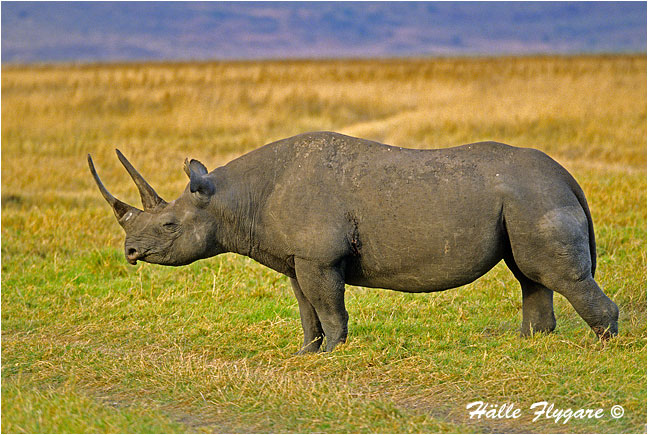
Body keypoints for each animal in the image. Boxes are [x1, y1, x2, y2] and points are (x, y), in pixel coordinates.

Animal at [88, 131, 618, 353]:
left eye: (169, 226)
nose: (130, 253)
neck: (232, 198)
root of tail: (567, 177)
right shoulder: (297, 256)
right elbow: (307, 309)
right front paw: (305, 355)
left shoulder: (320, 256)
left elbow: (329, 306)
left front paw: (334, 354)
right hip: (527, 198)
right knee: (530, 274)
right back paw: (531, 343)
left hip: (536, 196)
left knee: (554, 274)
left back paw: (602, 346)